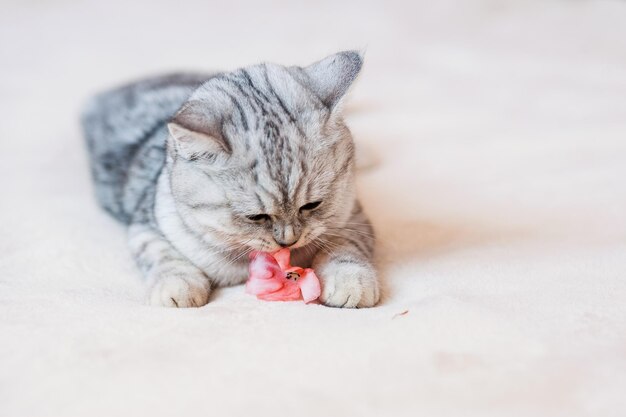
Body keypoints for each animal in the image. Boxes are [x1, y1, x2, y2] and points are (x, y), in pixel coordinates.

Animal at [80, 50, 378, 308]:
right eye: (256, 217)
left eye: (312, 205)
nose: (288, 242)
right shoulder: (147, 224)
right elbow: (163, 255)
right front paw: (177, 286)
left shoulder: (354, 217)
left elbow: (346, 246)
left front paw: (350, 279)